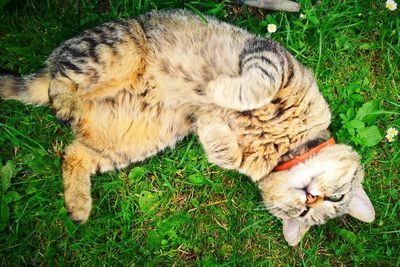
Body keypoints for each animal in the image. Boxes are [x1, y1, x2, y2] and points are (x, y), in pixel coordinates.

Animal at [0, 8, 376, 247]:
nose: (311, 199)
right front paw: (220, 93)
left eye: (307, 212)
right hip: (111, 50)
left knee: (72, 152)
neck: (285, 147)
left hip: (128, 143)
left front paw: (213, 128)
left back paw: (78, 206)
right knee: (61, 80)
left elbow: (226, 154)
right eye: (336, 197)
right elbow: (256, 86)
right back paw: (64, 102)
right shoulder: (273, 59)